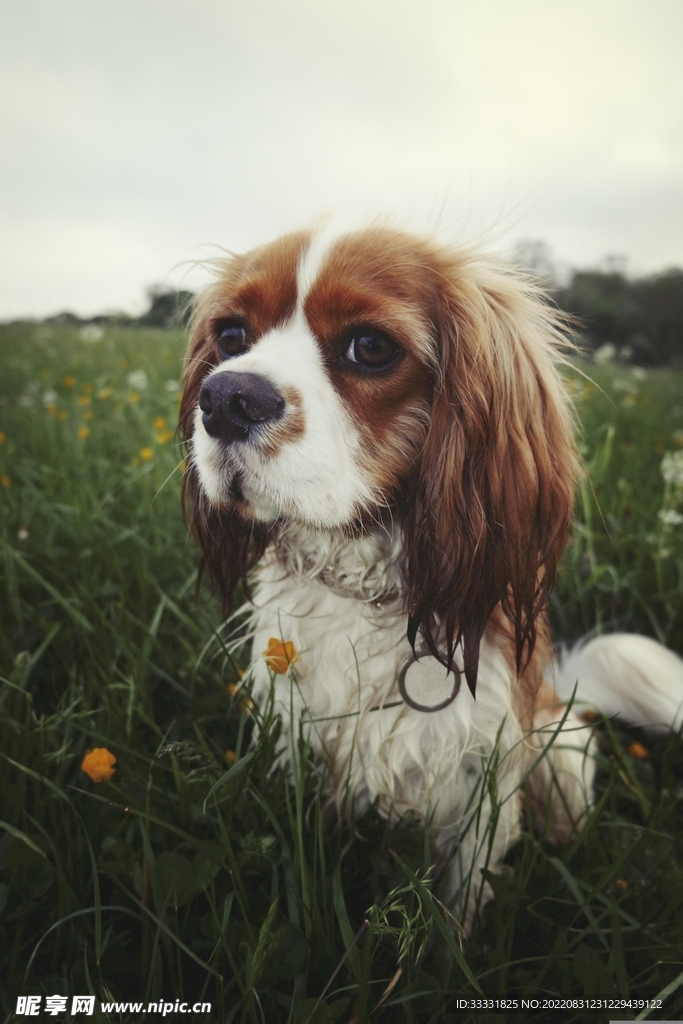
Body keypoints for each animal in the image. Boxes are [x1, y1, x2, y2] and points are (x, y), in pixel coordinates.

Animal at [179, 218, 683, 929]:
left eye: (370, 347)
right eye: (230, 336)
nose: (225, 396)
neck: (362, 587)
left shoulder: (483, 771)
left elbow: (460, 901)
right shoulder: (297, 740)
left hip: (560, 750)